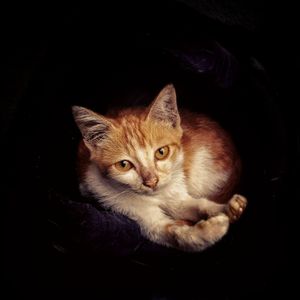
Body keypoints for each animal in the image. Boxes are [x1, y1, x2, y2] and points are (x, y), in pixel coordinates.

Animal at [72, 84, 246, 251]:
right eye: (124, 165)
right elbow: (176, 233)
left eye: (161, 152)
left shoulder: (177, 194)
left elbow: (197, 204)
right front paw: (212, 230)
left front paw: (226, 208)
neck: (157, 196)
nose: (151, 182)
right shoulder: (128, 210)